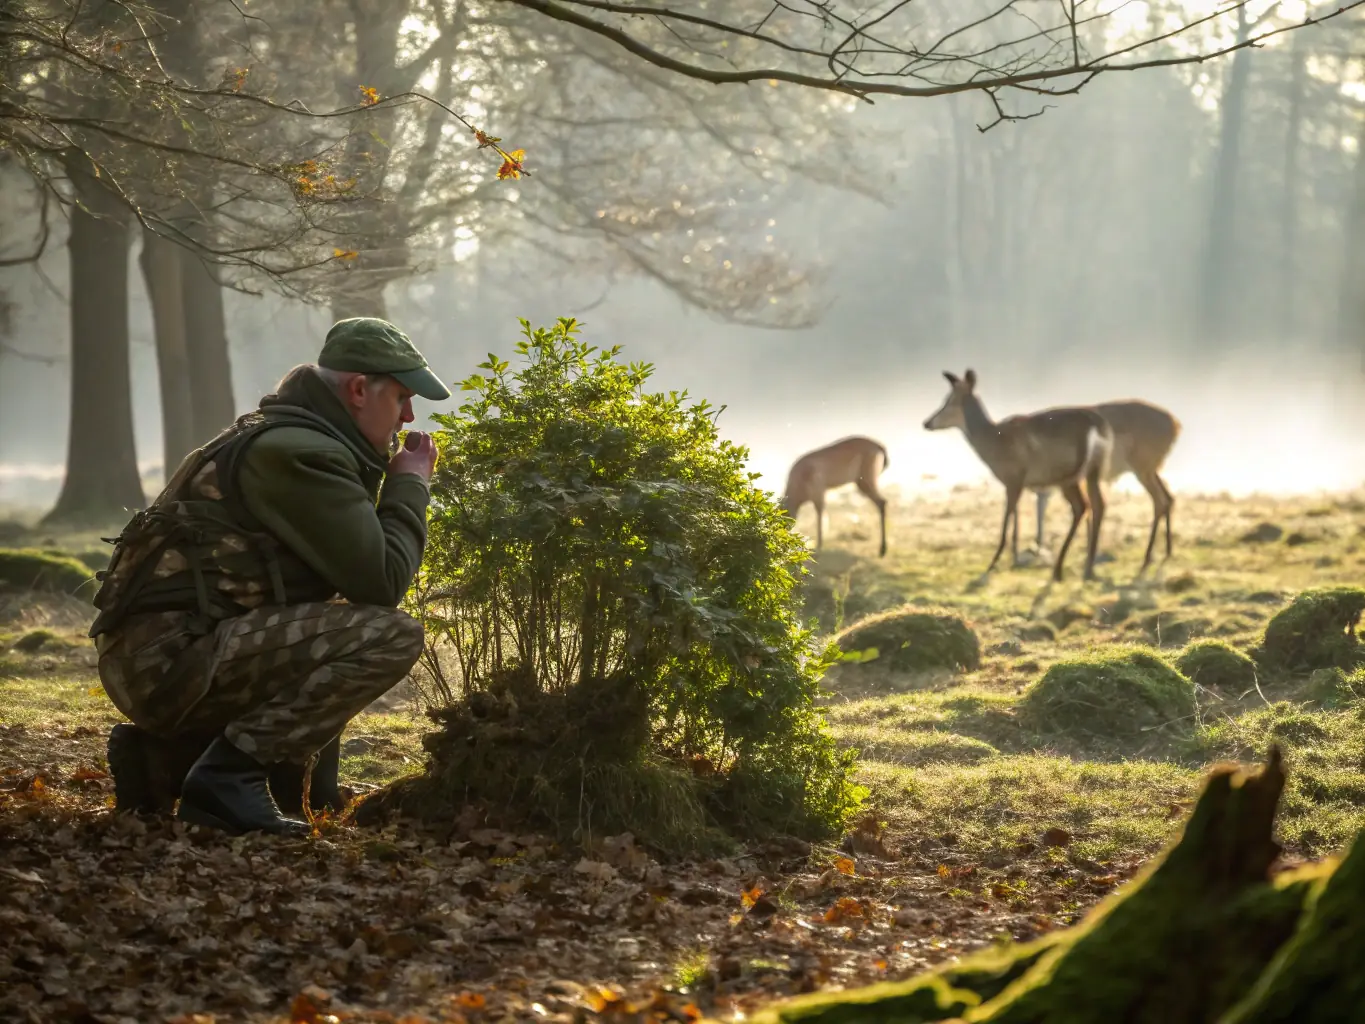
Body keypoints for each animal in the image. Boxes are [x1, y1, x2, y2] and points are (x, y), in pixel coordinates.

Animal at [923, 370, 1112, 582]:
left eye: (949, 401)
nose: (927, 423)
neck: (992, 443)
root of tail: (1097, 426)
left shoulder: (1013, 477)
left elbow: (1007, 520)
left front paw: (993, 563)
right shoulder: (1020, 482)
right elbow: (1016, 521)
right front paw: (1014, 558)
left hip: (1067, 472)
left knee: (1082, 507)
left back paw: (1059, 569)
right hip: (1093, 470)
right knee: (1098, 504)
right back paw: (1088, 568)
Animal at [1032, 400, 1180, 575]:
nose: (1038, 540)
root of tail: (1173, 423)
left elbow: (1089, 508)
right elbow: (1090, 510)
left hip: (1143, 472)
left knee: (1160, 501)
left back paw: (1147, 557)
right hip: (1150, 472)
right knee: (1168, 498)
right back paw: (1167, 551)